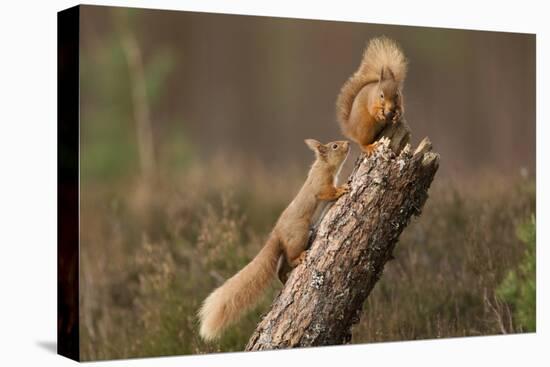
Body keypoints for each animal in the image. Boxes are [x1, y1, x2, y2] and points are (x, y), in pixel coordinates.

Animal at [201, 139, 352, 342]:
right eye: (334, 146)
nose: (348, 143)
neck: (323, 166)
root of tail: (277, 234)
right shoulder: (320, 186)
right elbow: (327, 193)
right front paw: (342, 189)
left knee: (281, 268)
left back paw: (285, 277)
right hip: (299, 235)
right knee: (290, 258)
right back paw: (299, 259)